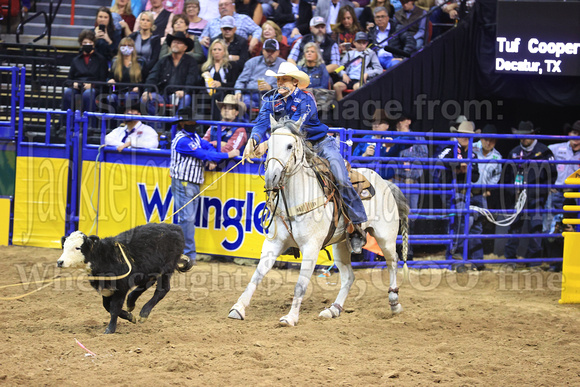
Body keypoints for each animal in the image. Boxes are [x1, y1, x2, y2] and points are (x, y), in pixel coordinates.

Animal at [58, 223, 191, 334]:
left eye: (77, 248)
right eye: (64, 246)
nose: (60, 262)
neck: (104, 257)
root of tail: (176, 228)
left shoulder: (121, 287)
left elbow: (114, 308)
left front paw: (110, 329)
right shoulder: (107, 288)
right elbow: (107, 306)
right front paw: (129, 316)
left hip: (167, 268)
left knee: (162, 289)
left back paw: (144, 312)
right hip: (150, 270)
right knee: (147, 283)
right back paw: (131, 302)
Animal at [229, 116, 410, 328]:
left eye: (290, 146)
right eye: (269, 145)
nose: (271, 178)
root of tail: (385, 183)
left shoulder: (311, 247)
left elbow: (300, 285)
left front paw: (290, 318)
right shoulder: (274, 243)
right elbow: (257, 275)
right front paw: (238, 308)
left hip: (385, 237)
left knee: (393, 261)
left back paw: (394, 303)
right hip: (341, 245)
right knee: (349, 277)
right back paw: (333, 310)